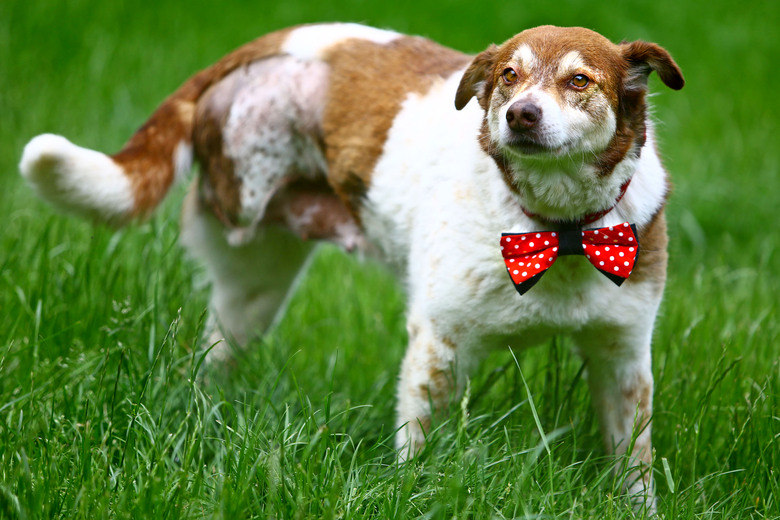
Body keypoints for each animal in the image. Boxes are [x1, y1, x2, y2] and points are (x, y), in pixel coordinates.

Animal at [19, 22, 684, 510]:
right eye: (508, 76)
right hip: (247, 244)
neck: (558, 231)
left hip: (251, 295)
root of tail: (272, 41)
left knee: (208, 363)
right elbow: (417, 452)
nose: (519, 113)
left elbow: (635, 467)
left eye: (579, 80)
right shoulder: (438, 347)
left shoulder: (623, 357)